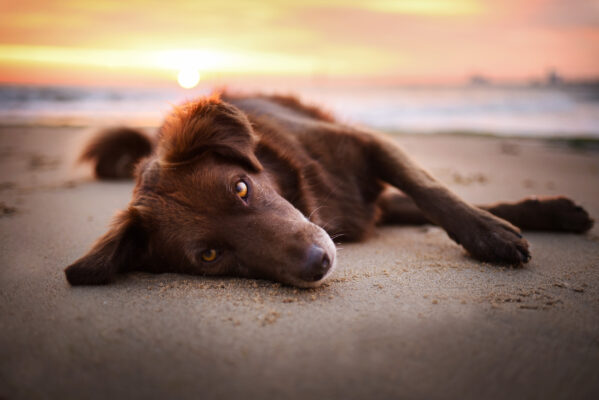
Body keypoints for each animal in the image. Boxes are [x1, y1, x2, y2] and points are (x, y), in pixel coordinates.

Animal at [67, 93, 596, 288]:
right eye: (210, 256)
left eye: (241, 188)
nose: (317, 264)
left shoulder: (369, 145)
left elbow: (432, 191)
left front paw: (491, 236)